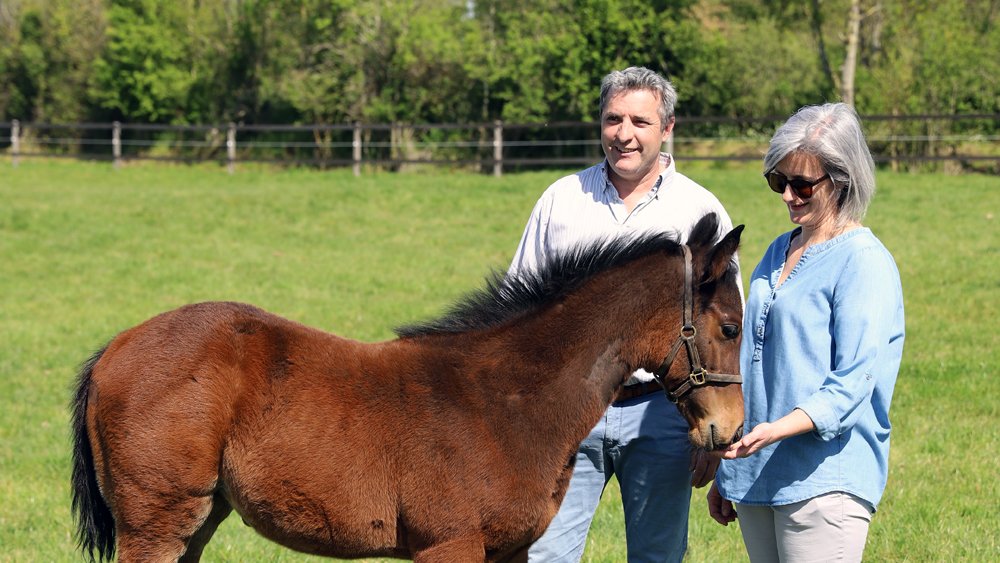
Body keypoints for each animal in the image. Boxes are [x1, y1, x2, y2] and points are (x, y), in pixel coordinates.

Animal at [71, 213, 745, 563]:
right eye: (731, 327)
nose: (730, 429)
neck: (507, 398)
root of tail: (113, 351)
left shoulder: (507, 550)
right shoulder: (449, 546)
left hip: (198, 518)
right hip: (156, 523)